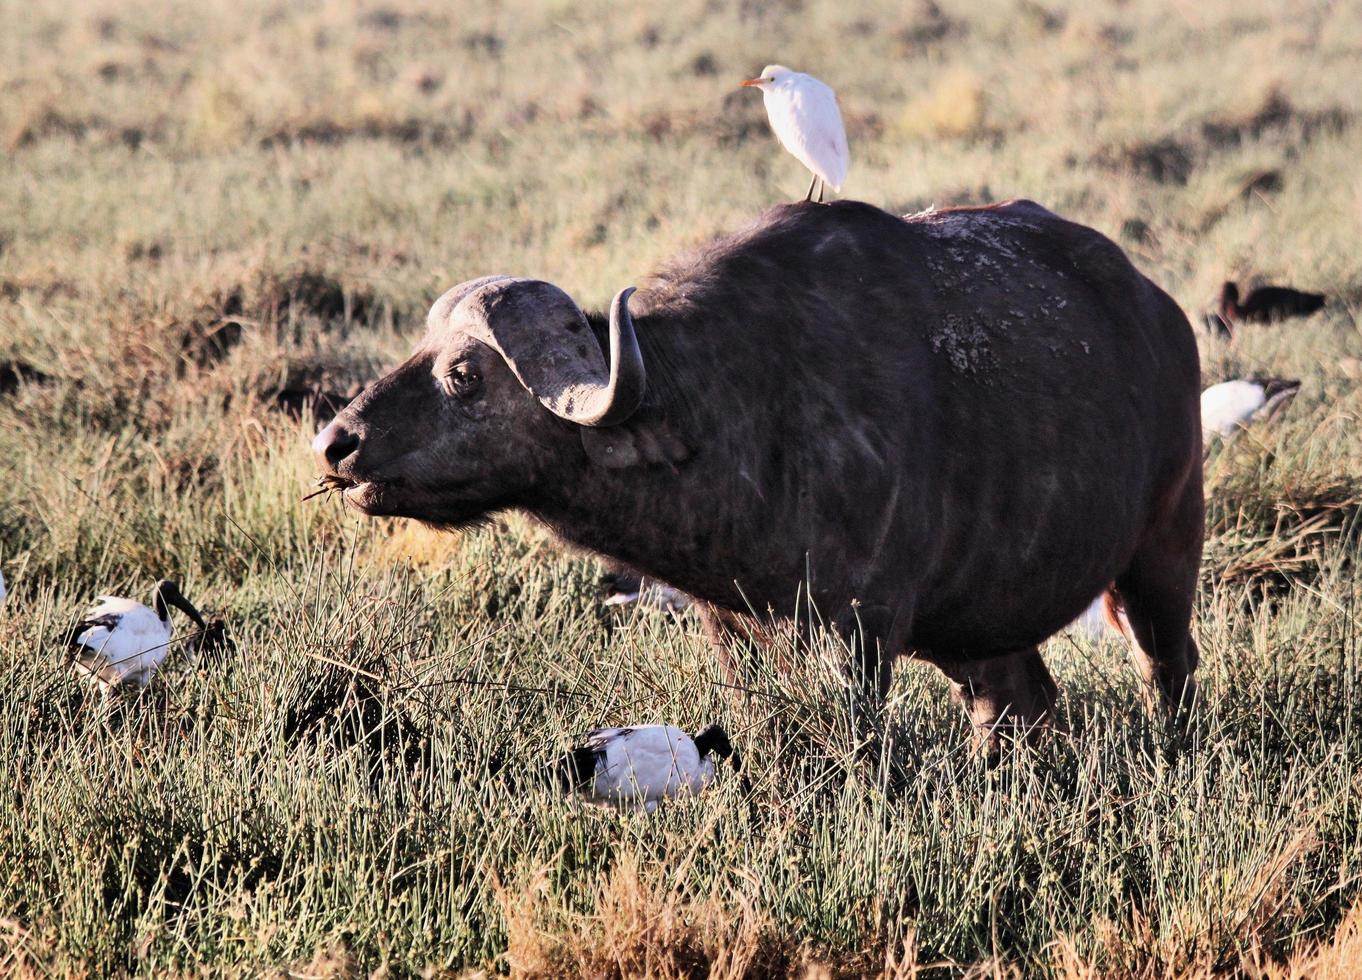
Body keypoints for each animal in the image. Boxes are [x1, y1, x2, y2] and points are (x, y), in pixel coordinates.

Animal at [311, 201, 1204, 751]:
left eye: (463, 375)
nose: (336, 444)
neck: (743, 418)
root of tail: (1159, 310)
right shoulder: (735, 626)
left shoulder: (860, 634)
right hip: (982, 624)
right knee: (1018, 701)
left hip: (1163, 551)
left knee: (1168, 668)